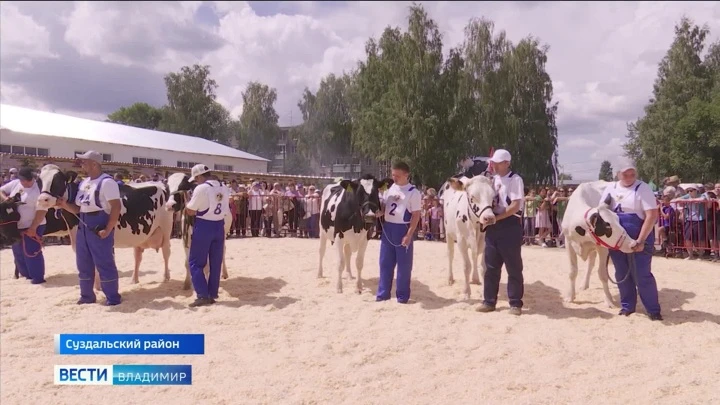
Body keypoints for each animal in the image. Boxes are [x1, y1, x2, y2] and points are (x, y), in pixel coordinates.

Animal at [35, 163, 174, 286]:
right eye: (39, 181)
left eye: (58, 180)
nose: (43, 200)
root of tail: (160, 183)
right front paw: (96, 288)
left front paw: (99, 288)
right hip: (140, 235)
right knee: (137, 256)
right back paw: (134, 279)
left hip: (166, 229)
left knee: (166, 252)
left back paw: (166, 277)